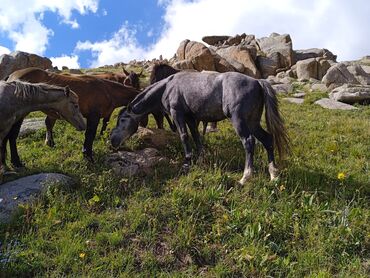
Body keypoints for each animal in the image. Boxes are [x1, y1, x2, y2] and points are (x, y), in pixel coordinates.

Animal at [6, 68, 140, 163]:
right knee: (12, 135)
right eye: (127, 80)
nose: (115, 143)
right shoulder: (93, 116)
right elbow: (90, 135)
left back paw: (50, 143)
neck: (107, 90)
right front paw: (87, 156)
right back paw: (16, 162)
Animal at [110, 71, 290, 185]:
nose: (112, 140)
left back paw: (245, 177)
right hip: (253, 122)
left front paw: (187, 162)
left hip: (240, 121)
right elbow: (196, 137)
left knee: (249, 142)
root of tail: (257, 81)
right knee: (267, 140)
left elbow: (184, 136)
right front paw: (200, 160)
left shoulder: (178, 114)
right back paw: (273, 175)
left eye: (123, 119)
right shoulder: (191, 118)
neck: (167, 86)